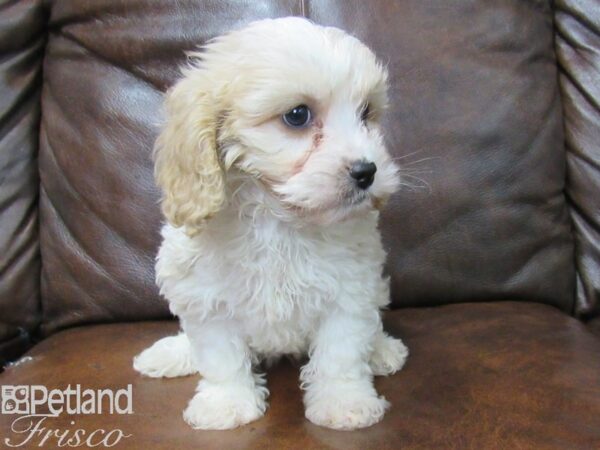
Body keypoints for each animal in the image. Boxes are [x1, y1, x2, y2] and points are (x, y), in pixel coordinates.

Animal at [135, 17, 408, 430]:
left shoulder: (350, 292)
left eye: (365, 113)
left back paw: (381, 350)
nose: (367, 171)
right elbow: (220, 357)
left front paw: (344, 403)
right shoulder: (205, 298)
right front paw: (226, 404)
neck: (279, 219)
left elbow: (341, 354)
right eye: (298, 115)